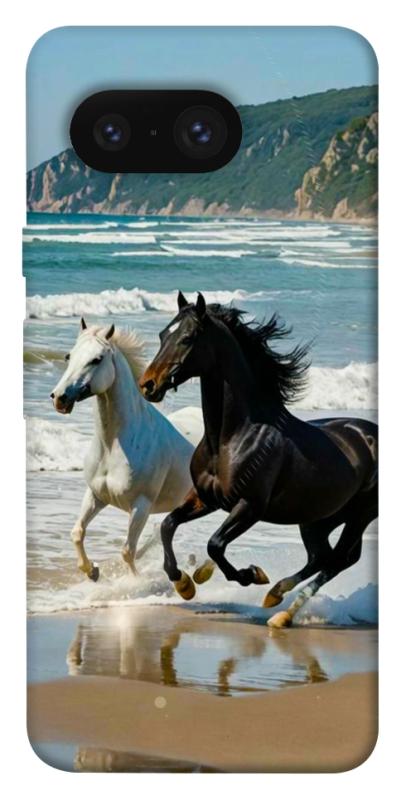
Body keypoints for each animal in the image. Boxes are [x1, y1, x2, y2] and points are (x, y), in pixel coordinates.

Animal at [50, 317, 198, 581]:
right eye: (69, 356)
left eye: (96, 359)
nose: (59, 398)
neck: (114, 446)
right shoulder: (96, 495)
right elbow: (77, 532)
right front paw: (92, 571)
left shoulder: (141, 506)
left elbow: (127, 551)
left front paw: (135, 583)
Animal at [139, 292, 378, 627]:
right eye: (163, 335)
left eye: (187, 338)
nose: (148, 385)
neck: (231, 438)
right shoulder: (206, 498)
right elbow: (168, 525)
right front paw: (185, 583)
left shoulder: (250, 506)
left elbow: (215, 544)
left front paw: (250, 574)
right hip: (318, 518)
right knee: (322, 556)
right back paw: (276, 597)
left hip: (360, 515)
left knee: (338, 559)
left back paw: (281, 611)